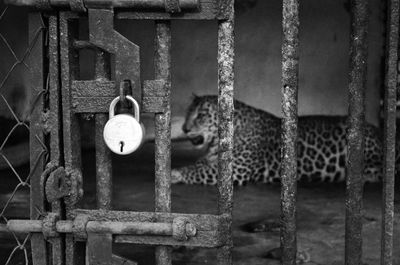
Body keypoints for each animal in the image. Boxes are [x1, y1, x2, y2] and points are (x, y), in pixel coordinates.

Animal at [171, 94, 390, 185]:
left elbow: (195, 169)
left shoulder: (235, 171)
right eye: (188, 113)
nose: (184, 128)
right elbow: (198, 164)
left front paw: (174, 173)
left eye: (201, 115)